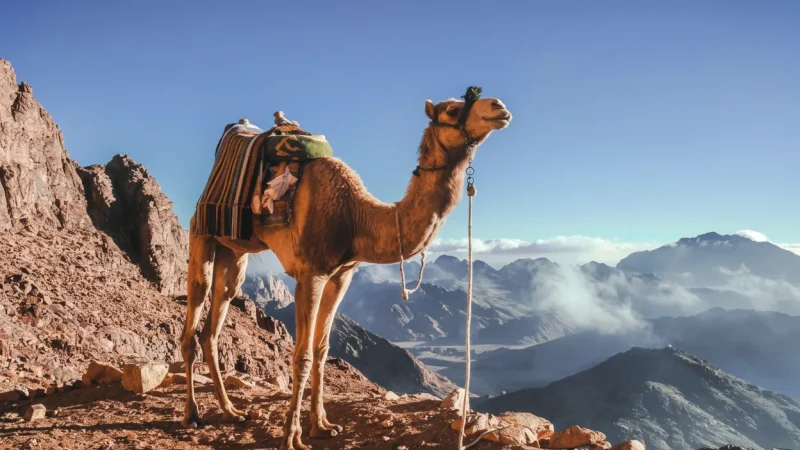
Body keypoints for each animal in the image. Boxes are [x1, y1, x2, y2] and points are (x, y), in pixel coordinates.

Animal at [179, 90, 512, 450]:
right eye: (451, 109)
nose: (499, 108)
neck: (357, 216)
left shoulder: (342, 275)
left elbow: (321, 350)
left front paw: (321, 426)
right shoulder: (310, 272)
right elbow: (302, 355)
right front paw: (292, 436)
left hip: (235, 249)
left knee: (217, 319)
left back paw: (230, 411)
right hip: (201, 232)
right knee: (195, 311)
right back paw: (192, 415)